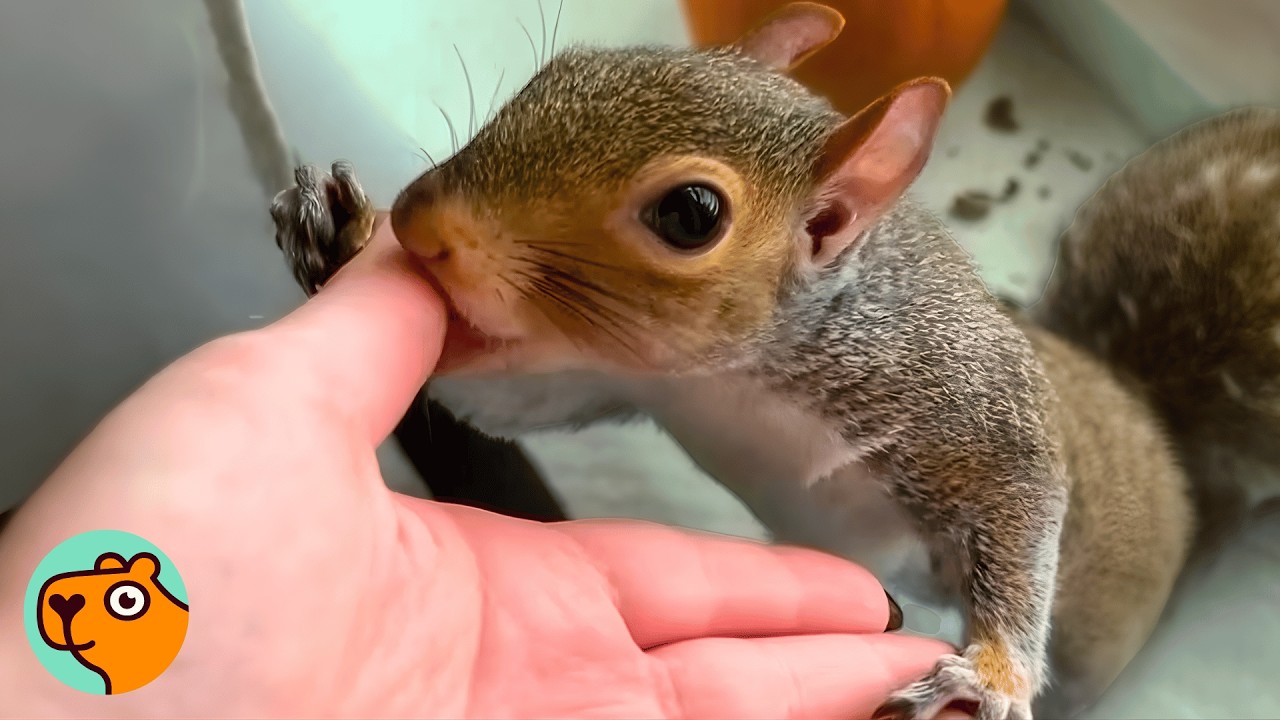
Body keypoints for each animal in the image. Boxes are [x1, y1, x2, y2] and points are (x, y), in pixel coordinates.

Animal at [265, 3, 1279, 719]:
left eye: (690, 214)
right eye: (567, 68)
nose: (422, 221)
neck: (737, 374)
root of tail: (1161, 437)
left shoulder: (963, 399)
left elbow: (1022, 506)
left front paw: (989, 674)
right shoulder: (613, 380)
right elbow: (509, 411)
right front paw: (336, 235)